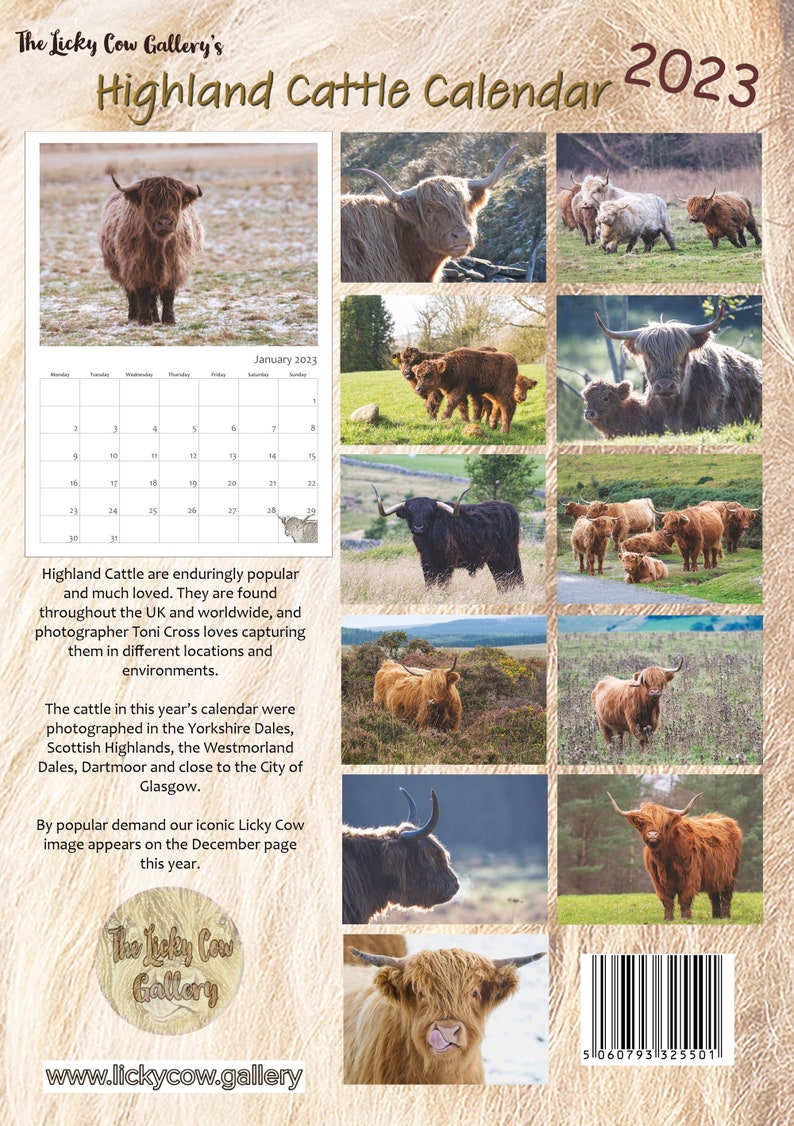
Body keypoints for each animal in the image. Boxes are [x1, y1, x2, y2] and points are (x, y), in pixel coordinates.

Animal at [99, 174, 203, 325]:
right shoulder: (136, 266)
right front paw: (144, 320)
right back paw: (134, 315)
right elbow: (142, 293)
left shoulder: (175, 267)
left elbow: (168, 295)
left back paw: (155, 317)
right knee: (132, 292)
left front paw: (169, 319)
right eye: (151, 200)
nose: (165, 222)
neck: (160, 246)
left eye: (175, 200)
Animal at [371, 485, 524, 591]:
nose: (418, 528)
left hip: (506, 555)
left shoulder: (446, 563)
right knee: (502, 579)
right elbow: (429, 583)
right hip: (494, 559)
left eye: (429, 513)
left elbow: (443, 584)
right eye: (410, 513)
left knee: (512, 576)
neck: (428, 542)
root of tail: (509, 508)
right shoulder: (426, 563)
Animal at [607, 791, 742, 921]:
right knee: (714, 895)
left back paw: (725, 916)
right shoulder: (658, 882)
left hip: (730, 874)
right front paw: (668, 918)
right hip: (713, 875)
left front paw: (685, 917)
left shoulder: (689, 876)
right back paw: (716, 916)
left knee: (726, 895)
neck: (665, 859)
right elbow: (667, 900)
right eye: (643, 823)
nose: (652, 834)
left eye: (664, 824)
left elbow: (685, 898)